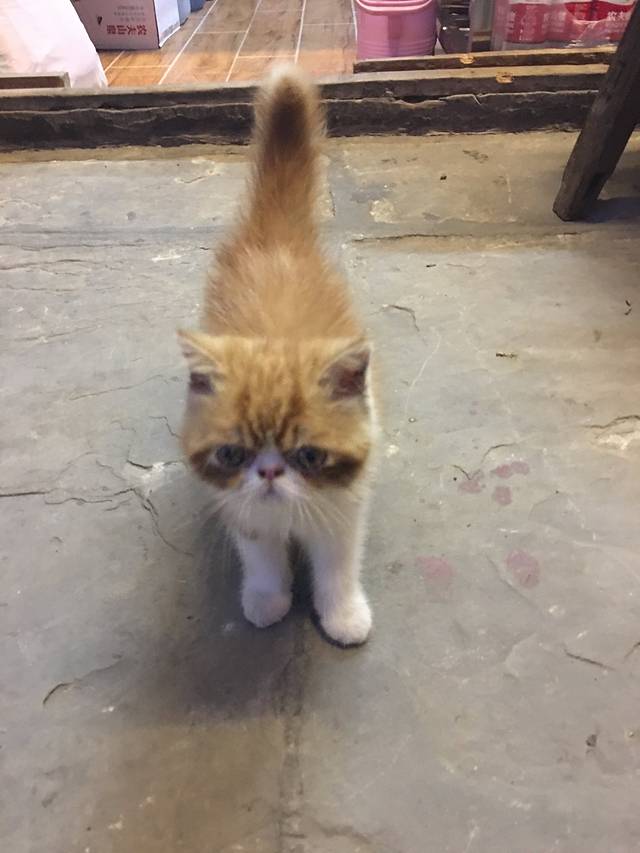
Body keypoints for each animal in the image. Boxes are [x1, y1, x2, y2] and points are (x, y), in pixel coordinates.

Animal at [178, 66, 377, 646]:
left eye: (308, 455)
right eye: (232, 454)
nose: (268, 472)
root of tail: (279, 238)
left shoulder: (344, 507)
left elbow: (338, 564)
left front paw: (342, 613)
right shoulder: (240, 508)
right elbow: (262, 558)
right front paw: (268, 600)